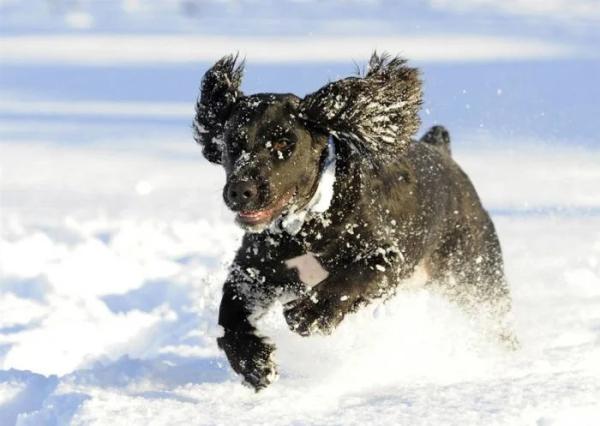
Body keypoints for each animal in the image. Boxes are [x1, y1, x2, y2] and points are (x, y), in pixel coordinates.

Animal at [192, 52, 516, 390]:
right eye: (232, 143)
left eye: (282, 144)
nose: (241, 190)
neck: (305, 225)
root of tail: (444, 154)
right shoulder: (253, 271)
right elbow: (229, 314)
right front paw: (254, 362)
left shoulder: (387, 257)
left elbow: (350, 278)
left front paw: (308, 314)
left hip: (476, 277)